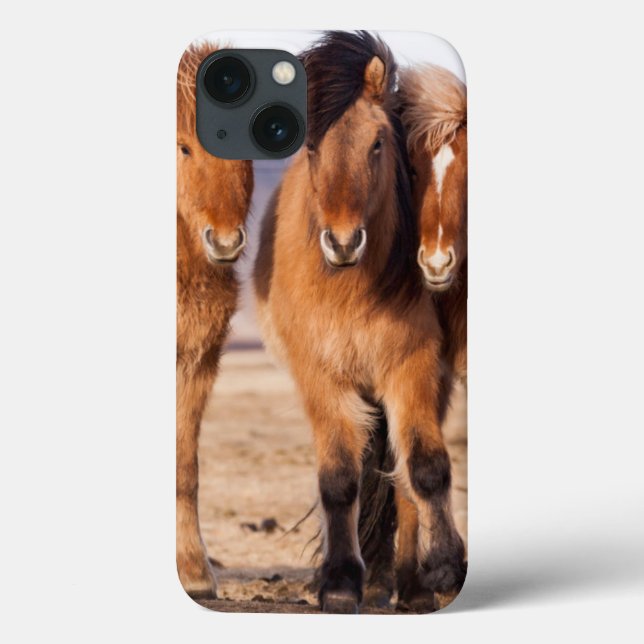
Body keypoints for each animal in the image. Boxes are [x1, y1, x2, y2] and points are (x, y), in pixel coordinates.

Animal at [253, 31, 465, 613]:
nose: (344, 242)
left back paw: (413, 586)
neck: (349, 289)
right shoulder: (321, 377)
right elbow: (339, 479)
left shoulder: (412, 367)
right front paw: (341, 581)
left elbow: (426, 470)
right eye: (309, 148)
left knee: (404, 476)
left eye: (377, 143)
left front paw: (443, 566)